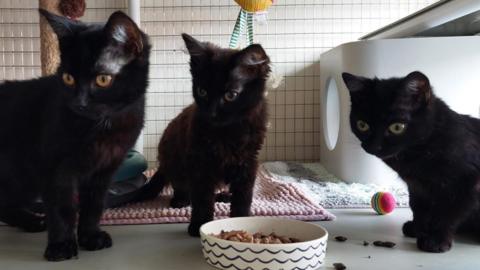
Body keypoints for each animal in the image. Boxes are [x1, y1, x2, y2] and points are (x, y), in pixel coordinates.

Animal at [0, 10, 150, 262]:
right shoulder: (54, 169)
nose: (79, 103)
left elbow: (94, 204)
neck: (101, 128)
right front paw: (61, 245)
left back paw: (32, 221)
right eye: (68, 78)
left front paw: (90, 236)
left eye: (102, 79)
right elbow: (62, 208)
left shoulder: (104, 170)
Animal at [136, 33, 270, 236]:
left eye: (231, 95)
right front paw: (199, 225)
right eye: (202, 91)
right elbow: (202, 197)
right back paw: (181, 199)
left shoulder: (248, 160)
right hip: (173, 158)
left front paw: (241, 219)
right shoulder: (200, 162)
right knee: (181, 185)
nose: (211, 113)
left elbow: (244, 195)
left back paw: (224, 195)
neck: (227, 132)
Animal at [344, 70, 478, 252]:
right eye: (362, 125)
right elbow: (417, 206)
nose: (373, 147)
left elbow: (448, 213)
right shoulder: (416, 186)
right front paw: (418, 228)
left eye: (397, 127)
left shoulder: (466, 183)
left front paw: (435, 240)